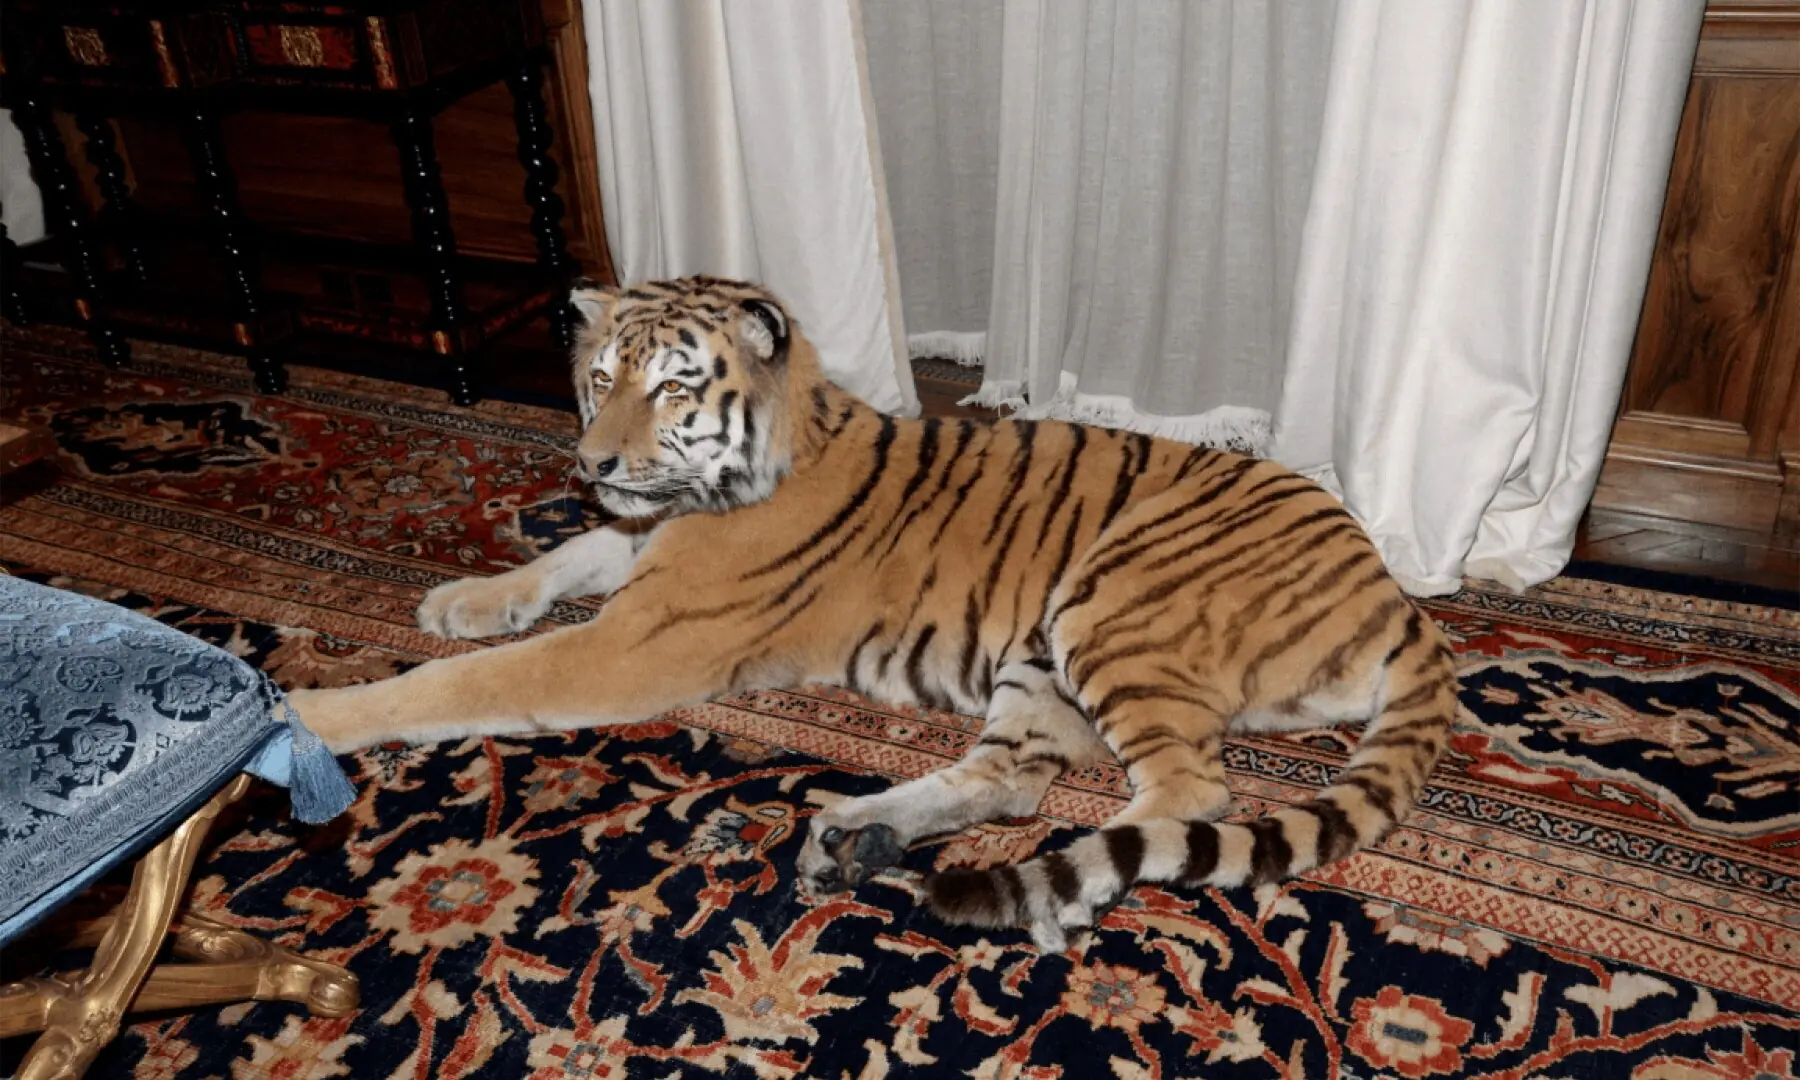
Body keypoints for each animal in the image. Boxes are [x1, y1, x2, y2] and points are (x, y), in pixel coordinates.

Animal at [288, 274, 1457, 951]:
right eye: (600, 378)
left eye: (671, 387)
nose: (592, 462)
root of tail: (1394, 596)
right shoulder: (637, 550)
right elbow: (569, 552)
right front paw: (462, 597)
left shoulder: (634, 644)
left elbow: (456, 685)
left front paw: (305, 717)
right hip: (1039, 661)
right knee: (1012, 778)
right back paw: (854, 838)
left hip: (1114, 603)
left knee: (1189, 796)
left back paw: (1057, 889)